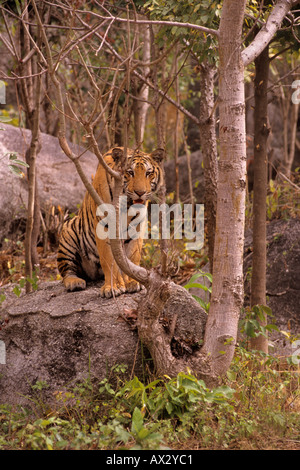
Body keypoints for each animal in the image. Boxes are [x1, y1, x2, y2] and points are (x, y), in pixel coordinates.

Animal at [56, 148, 164, 298]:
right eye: (130, 172)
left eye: (148, 173)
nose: (140, 192)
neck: (126, 204)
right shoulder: (103, 226)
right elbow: (108, 259)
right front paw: (113, 287)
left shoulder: (137, 226)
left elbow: (133, 257)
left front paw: (132, 282)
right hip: (69, 231)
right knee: (67, 271)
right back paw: (75, 282)